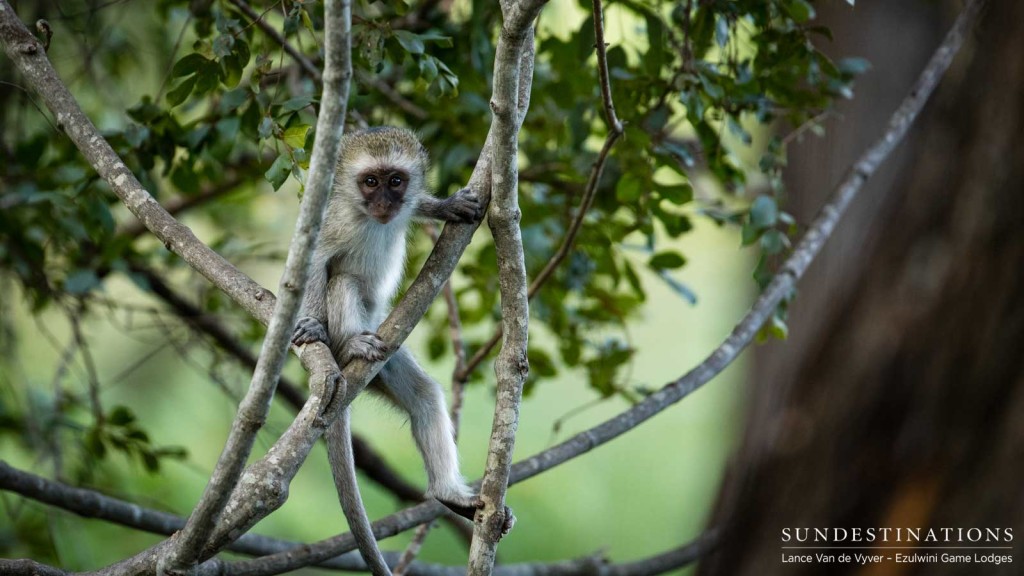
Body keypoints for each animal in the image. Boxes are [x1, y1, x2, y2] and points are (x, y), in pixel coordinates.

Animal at [294, 125, 485, 569]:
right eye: (370, 181)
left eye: (396, 181)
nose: (384, 203)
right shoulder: (332, 219)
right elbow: (316, 262)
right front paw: (310, 323)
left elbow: (420, 206)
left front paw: (447, 205)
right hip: (355, 337)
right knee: (342, 282)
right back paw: (350, 343)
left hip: (387, 359)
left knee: (424, 396)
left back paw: (447, 493)